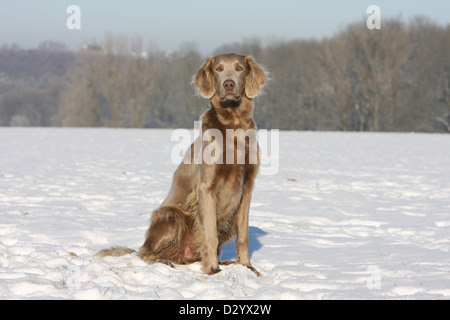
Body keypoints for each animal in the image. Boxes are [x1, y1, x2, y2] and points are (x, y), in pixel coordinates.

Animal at [97, 52, 268, 276]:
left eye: (239, 68)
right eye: (219, 69)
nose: (229, 84)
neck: (233, 124)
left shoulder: (247, 187)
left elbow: (244, 235)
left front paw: (247, 267)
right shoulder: (206, 187)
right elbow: (209, 234)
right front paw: (212, 269)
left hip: (226, 221)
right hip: (171, 217)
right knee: (145, 254)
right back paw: (166, 261)